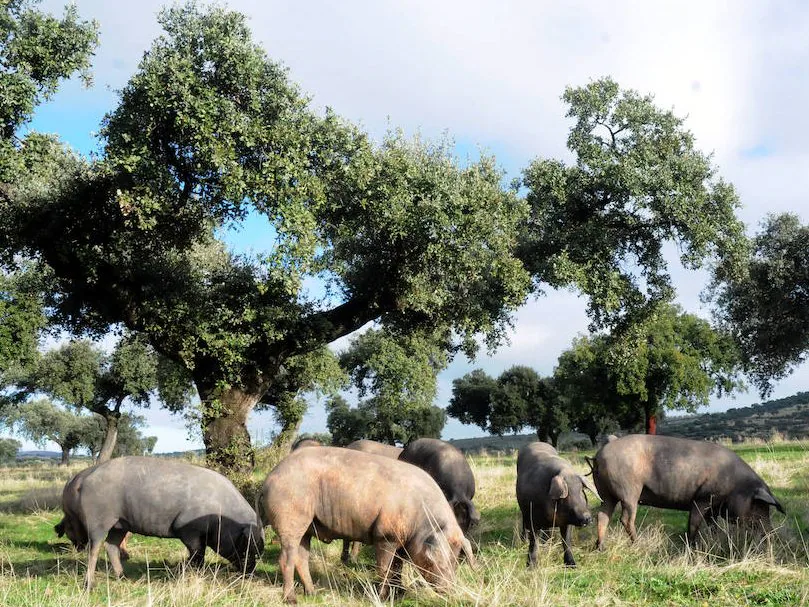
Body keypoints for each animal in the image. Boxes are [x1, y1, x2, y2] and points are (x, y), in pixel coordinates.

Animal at [72, 458, 262, 592]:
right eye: (246, 547)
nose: (250, 572)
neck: (221, 514)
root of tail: (87, 478)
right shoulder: (188, 529)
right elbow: (198, 554)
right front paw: (192, 572)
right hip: (99, 519)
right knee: (94, 547)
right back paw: (89, 586)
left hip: (121, 524)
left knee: (111, 546)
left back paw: (122, 577)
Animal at [260, 446, 474, 604]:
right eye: (434, 560)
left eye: (455, 560)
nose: (449, 590)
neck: (420, 519)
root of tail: (269, 478)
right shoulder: (385, 536)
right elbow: (385, 568)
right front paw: (382, 597)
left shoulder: (402, 542)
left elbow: (397, 567)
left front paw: (400, 594)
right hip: (290, 517)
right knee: (286, 558)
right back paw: (291, 599)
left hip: (307, 526)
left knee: (302, 557)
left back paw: (312, 593)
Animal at [588, 434, 784, 548]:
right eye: (759, 506)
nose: (772, 534)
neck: (736, 485)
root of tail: (599, 455)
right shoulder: (702, 498)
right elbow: (694, 523)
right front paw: (692, 546)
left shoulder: (713, 507)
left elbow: (713, 526)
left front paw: (714, 541)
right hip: (629, 490)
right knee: (626, 519)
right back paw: (638, 544)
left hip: (606, 494)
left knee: (602, 515)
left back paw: (600, 547)